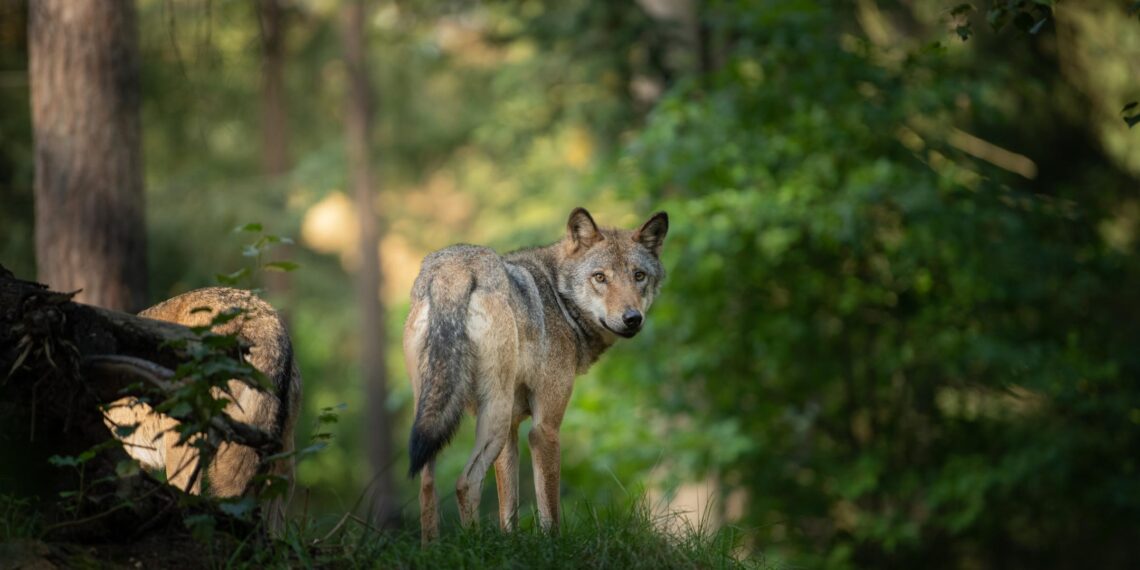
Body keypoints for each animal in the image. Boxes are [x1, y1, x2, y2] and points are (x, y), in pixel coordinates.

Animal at [404, 207, 668, 541]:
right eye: (600, 277)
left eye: (639, 276)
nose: (632, 318)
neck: (559, 298)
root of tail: (454, 269)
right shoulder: (544, 429)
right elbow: (549, 509)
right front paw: (552, 545)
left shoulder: (512, 430)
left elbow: (509, 509)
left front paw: (509, 542)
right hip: (494, 416)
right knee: (465, 482)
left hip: (435, 415)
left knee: (427, 485)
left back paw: (432, 547)